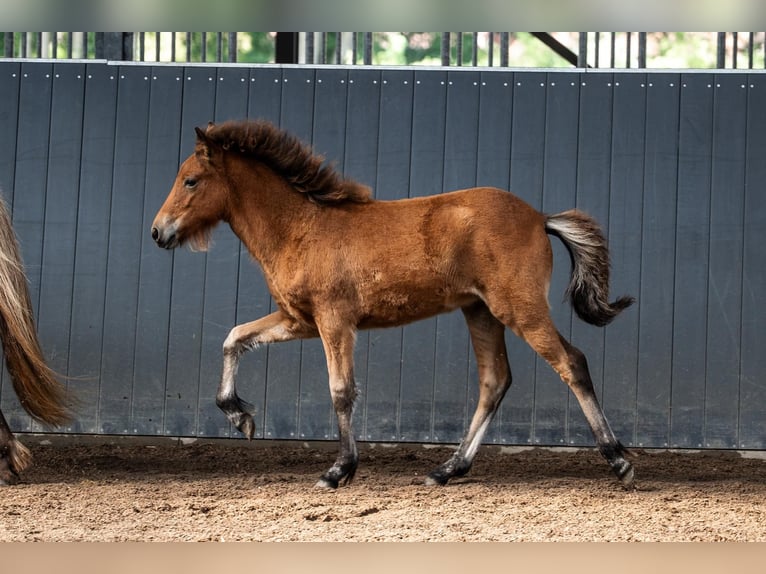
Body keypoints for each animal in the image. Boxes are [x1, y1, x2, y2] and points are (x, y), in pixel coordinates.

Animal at [151, 119, 635, 489]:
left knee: (571, 363)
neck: (301, 227)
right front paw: (240, 417)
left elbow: (341, 391)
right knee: (494, 381)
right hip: (480, 312)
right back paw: (447, 469)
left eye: (191, 180)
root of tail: (540, 218)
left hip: (519, 309)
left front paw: (339, 470)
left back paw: (619, 460)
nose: (159, 232)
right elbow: (234, 338)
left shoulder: (334, 321)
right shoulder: (298, 320)